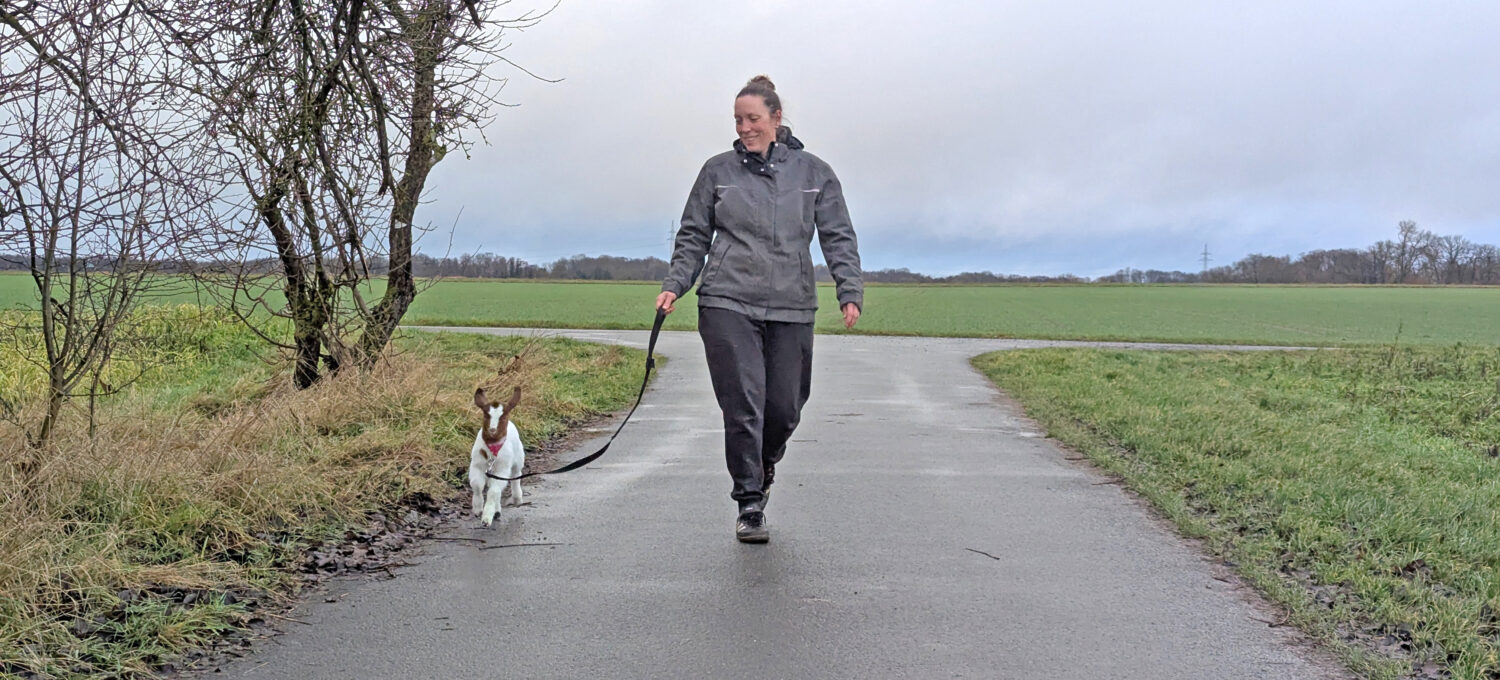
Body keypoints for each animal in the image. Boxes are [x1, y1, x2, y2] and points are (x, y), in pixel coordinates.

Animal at [471, 387, 525, 525]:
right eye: (486, 415)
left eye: (503, 416)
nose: (492, 430)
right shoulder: (476, 465)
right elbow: (477, 485)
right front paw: (478, 509)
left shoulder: (502, 469)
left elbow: (493, 491)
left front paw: (486, 518)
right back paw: (497, 511)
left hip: (518, 459)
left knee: (516, 475)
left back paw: (517, 499)